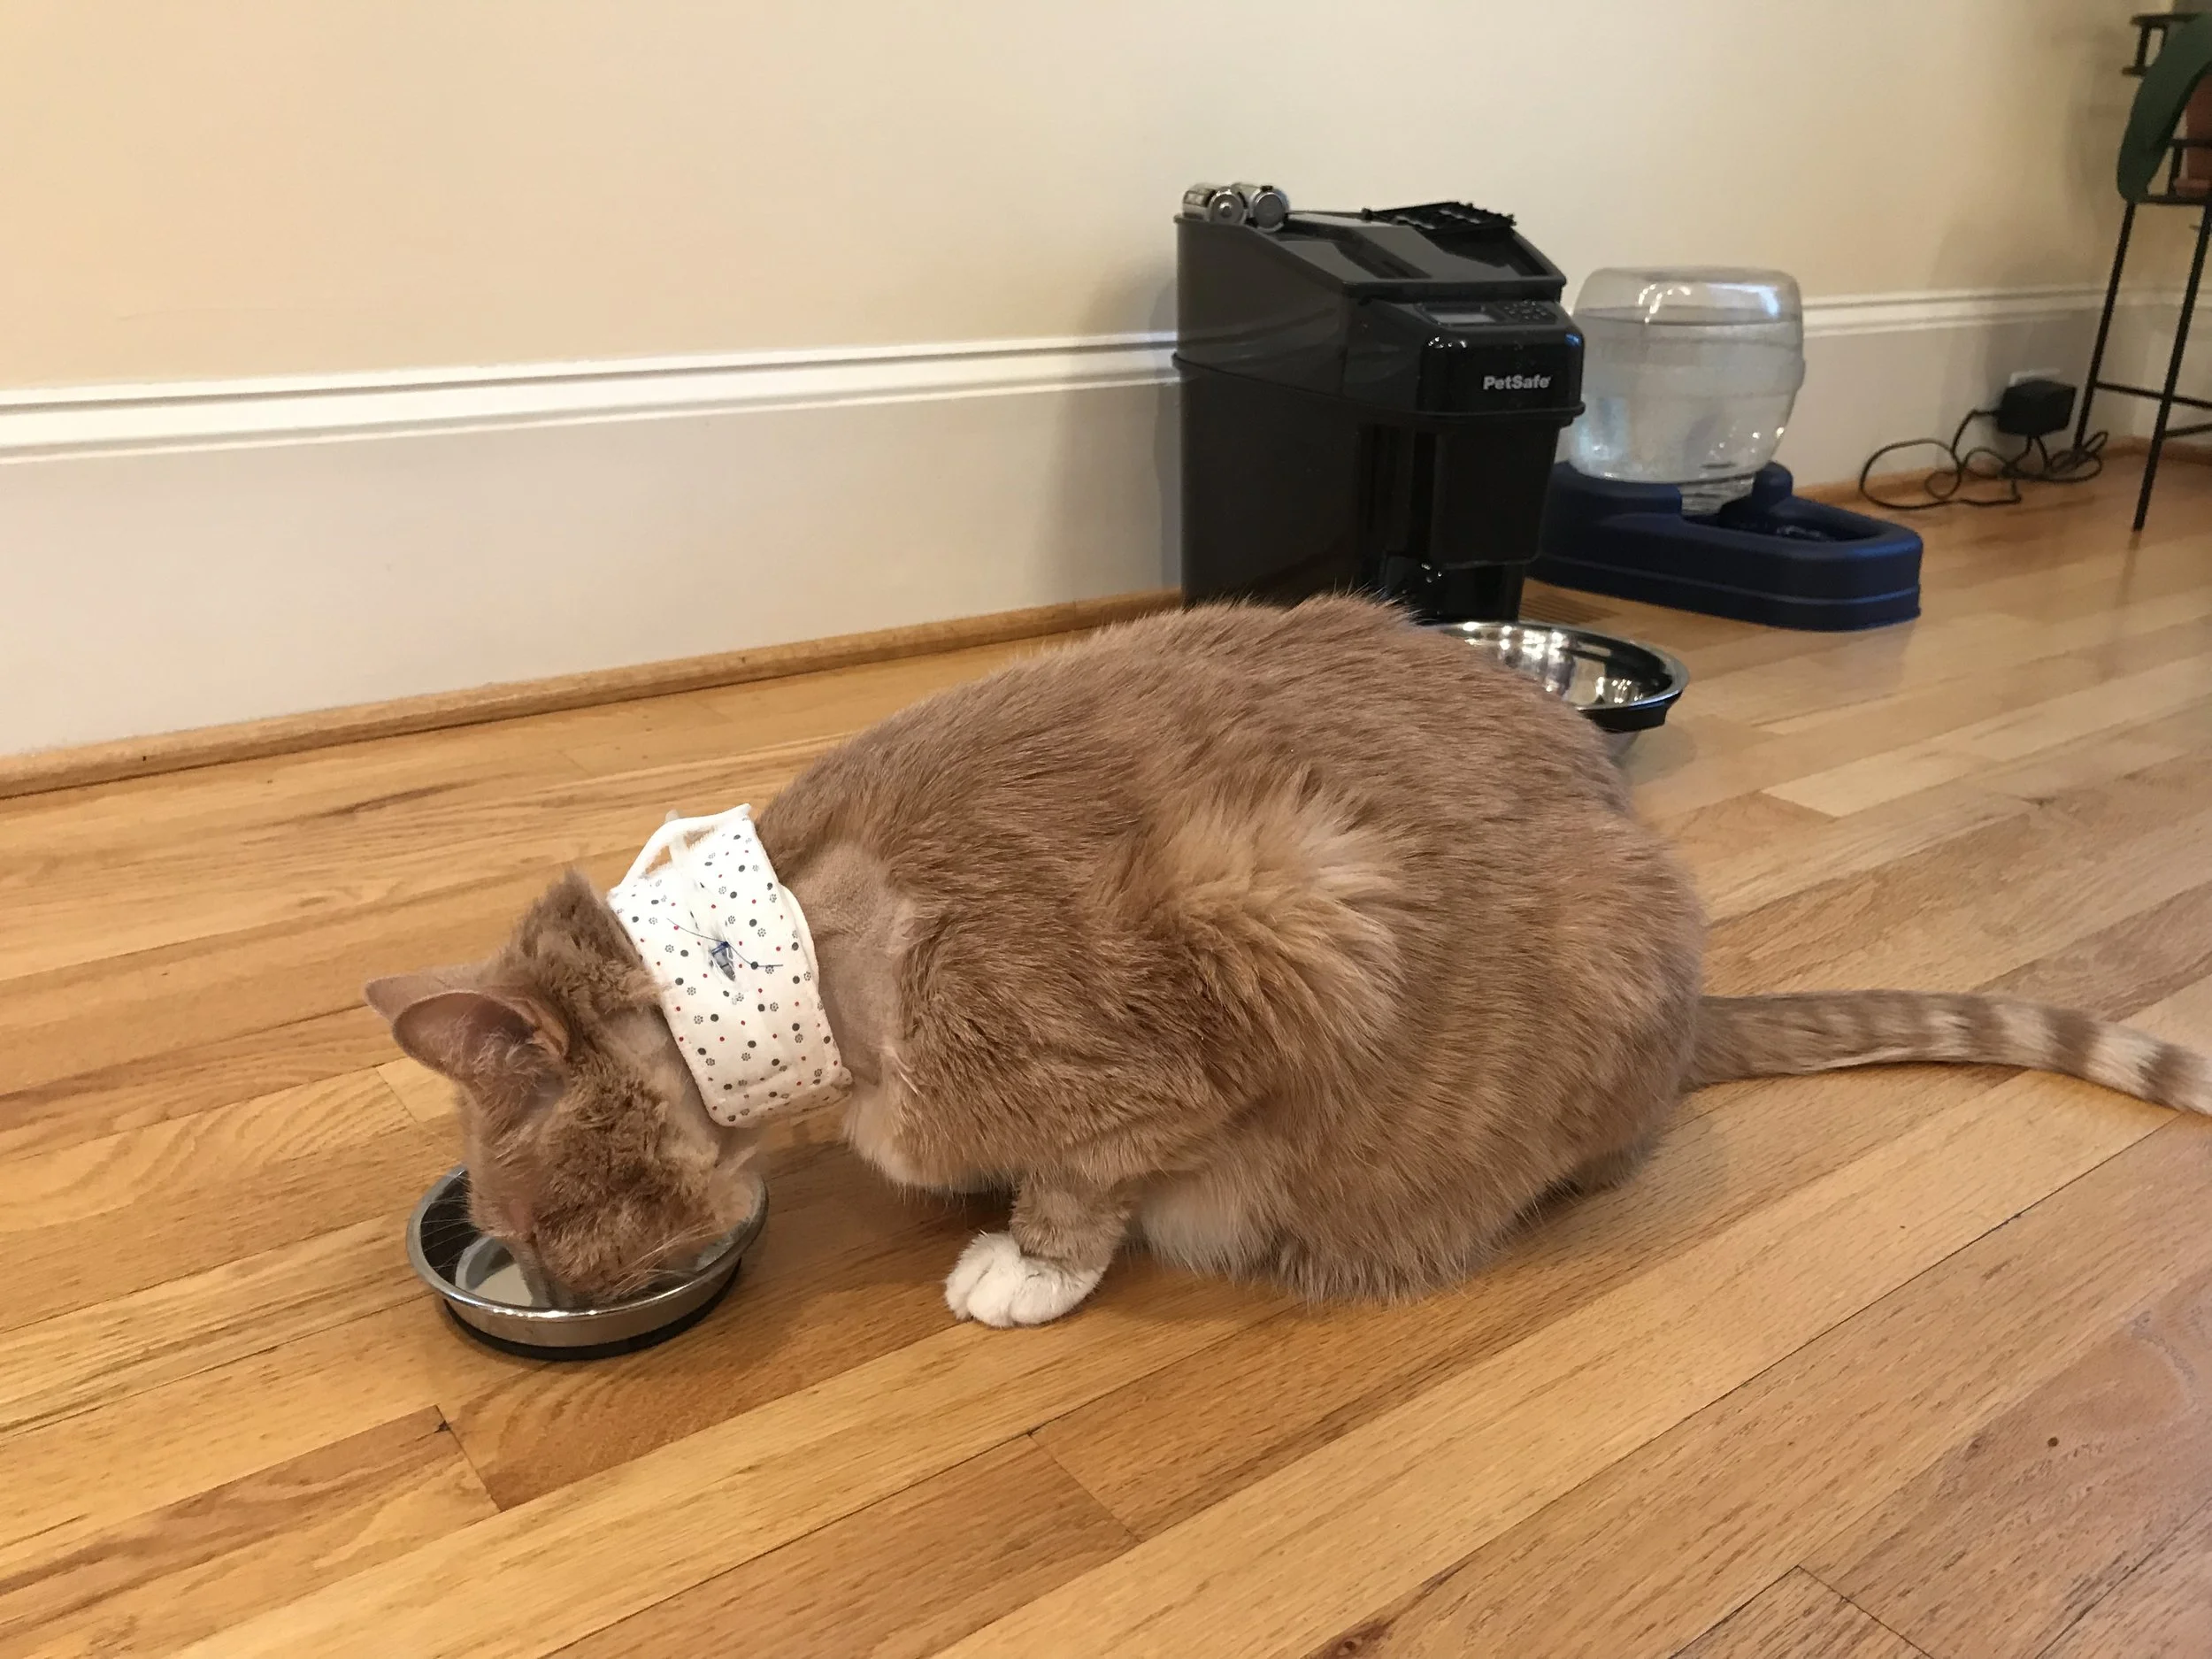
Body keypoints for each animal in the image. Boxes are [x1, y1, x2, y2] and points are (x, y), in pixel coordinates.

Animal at [365, 597, 2212, 1326]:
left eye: (540, 1225)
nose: (561, 1293)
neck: (796, 951)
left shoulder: (1280, 932)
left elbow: (1090, 1180)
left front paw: (1027, 1266)